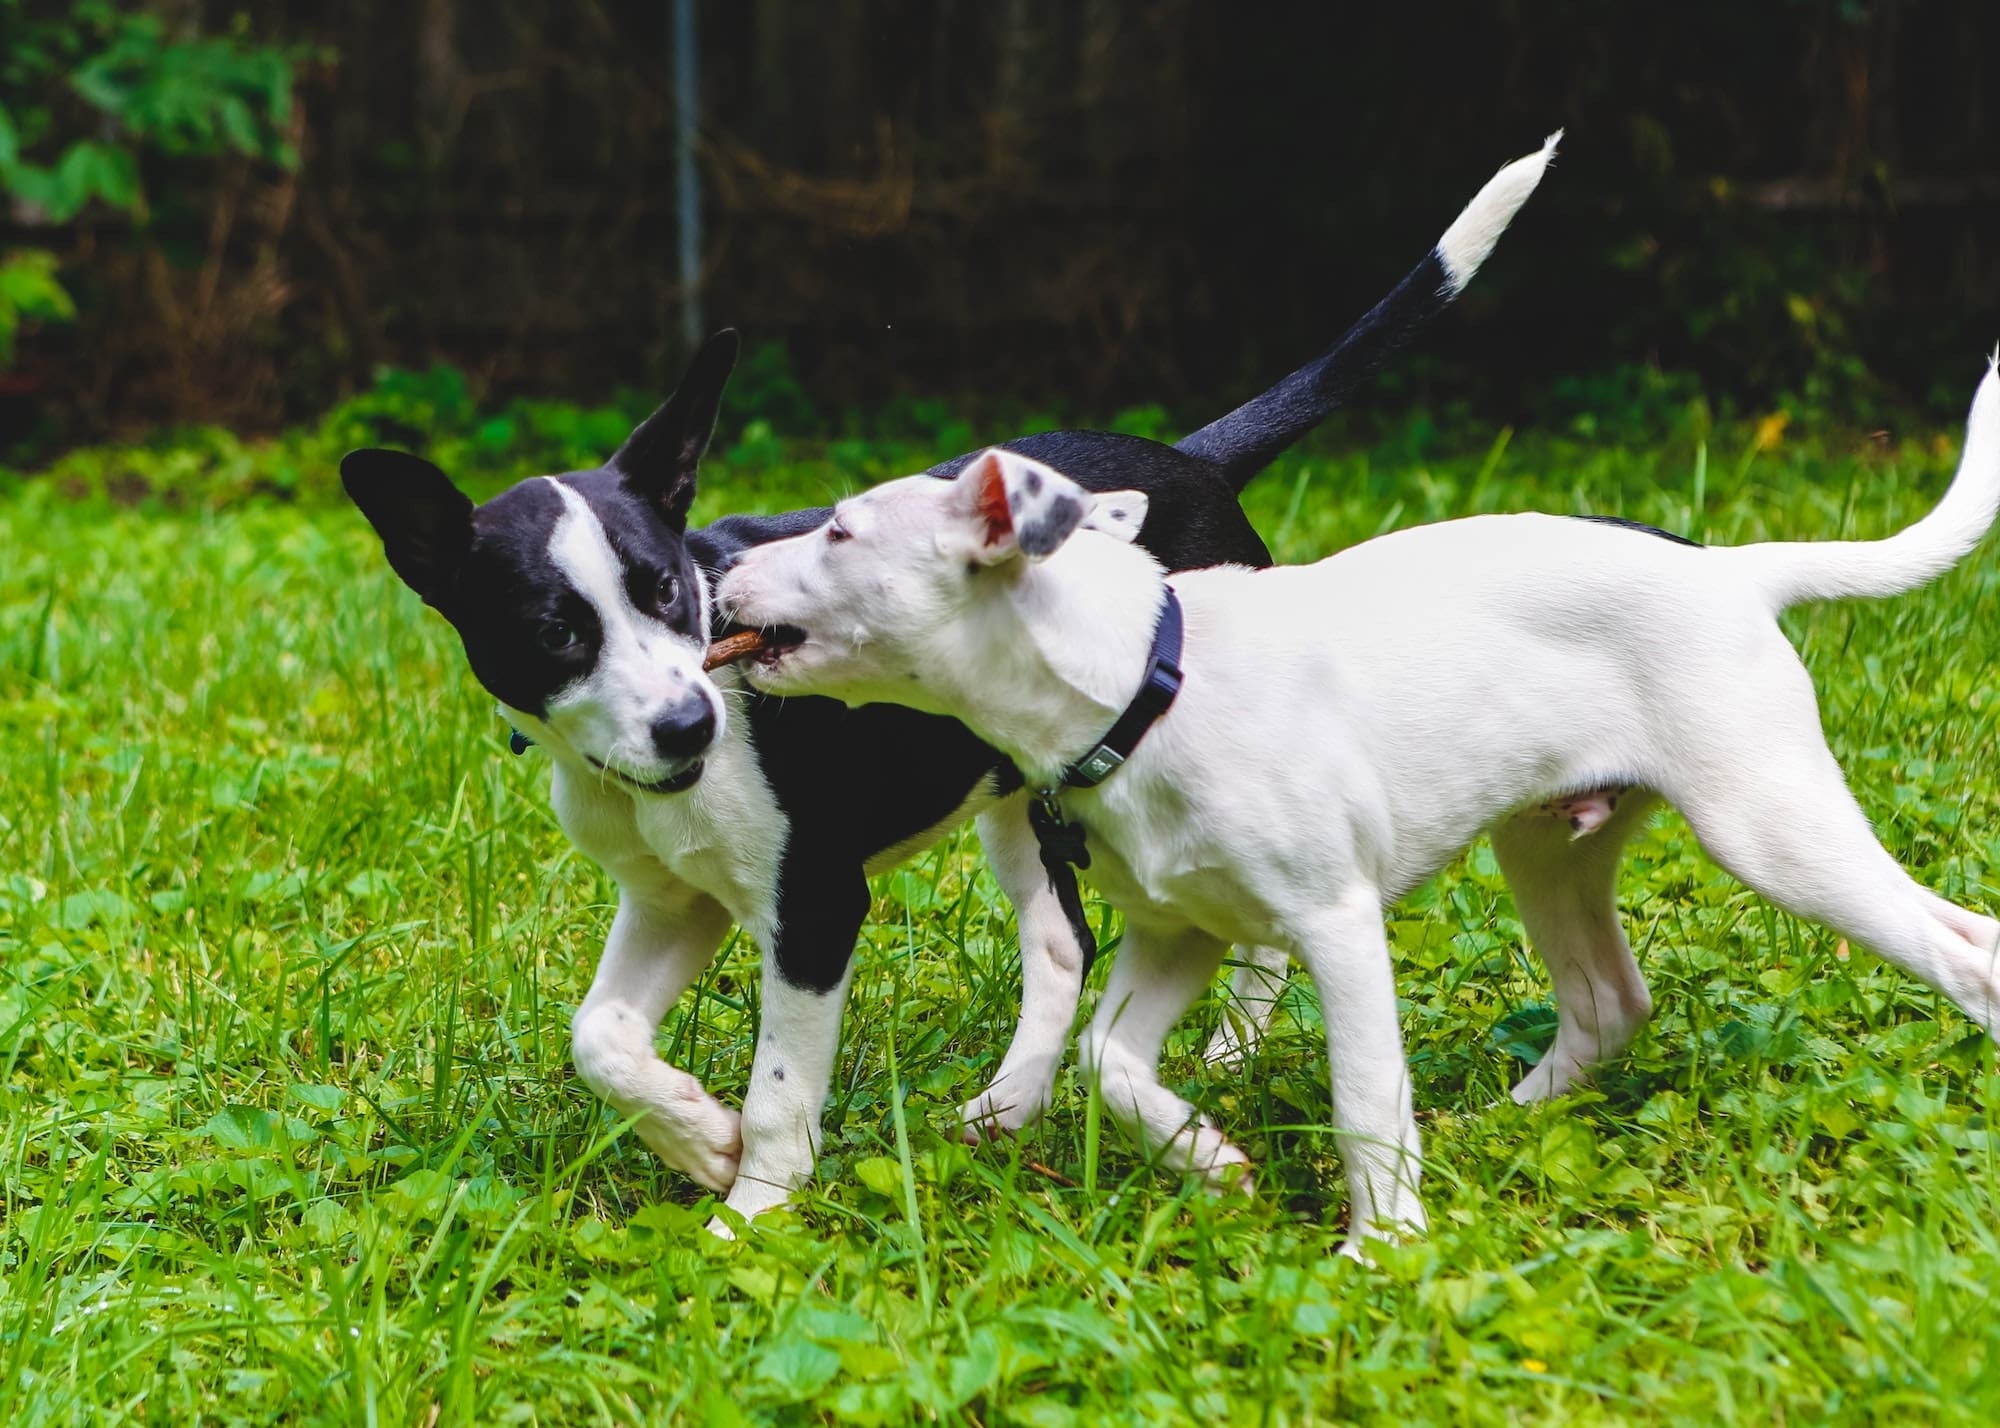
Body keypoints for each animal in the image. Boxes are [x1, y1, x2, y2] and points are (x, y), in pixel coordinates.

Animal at [344, 136, 1560, 1224]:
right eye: (557, 633)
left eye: (666, 591)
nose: (691, 728)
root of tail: (1198, 457)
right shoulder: (670, 898)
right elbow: (597, 1037)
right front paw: (696, 1139)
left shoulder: (813, 900)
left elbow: (779, 1088)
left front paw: (750, 1213)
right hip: (1025, 796)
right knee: (1062, 947)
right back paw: (1009, 1106)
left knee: (1243, 932)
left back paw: (1226, 1050)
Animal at [720, 362, 2000, 1248]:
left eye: (838, 529)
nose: (718, 575)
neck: (1149, 677)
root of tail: (1726, 569)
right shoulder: (1178, 931)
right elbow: (1107, 1063)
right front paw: (1209, 1161)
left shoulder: (1334, 925)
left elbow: (1362, 1095)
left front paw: (1380, 1247)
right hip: (1550, 849)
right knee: (1610, 1000)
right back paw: (1497, 1125)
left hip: (1766, 826)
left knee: (1959, 950)